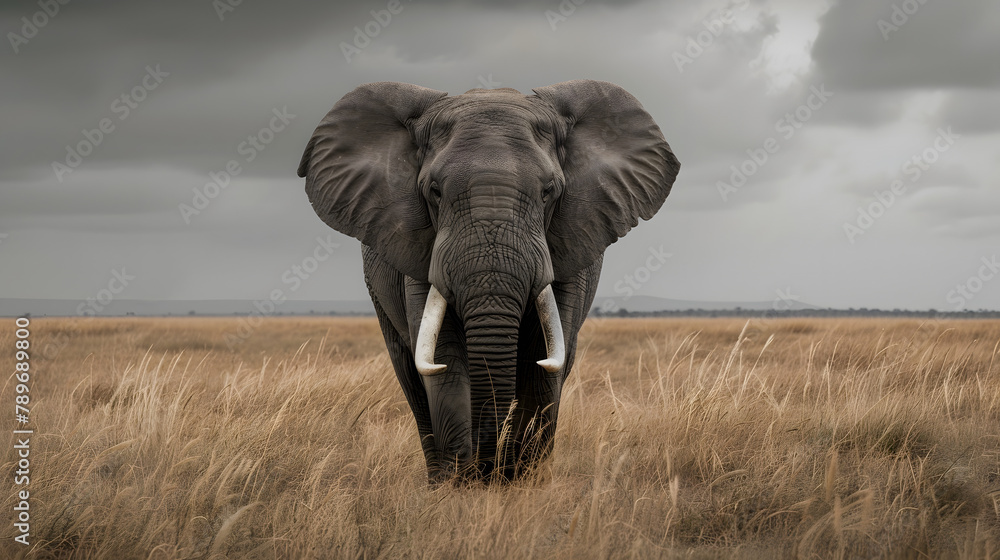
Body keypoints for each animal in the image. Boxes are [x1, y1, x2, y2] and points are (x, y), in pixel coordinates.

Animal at [297, 80, 680, 483]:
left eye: (549, 192)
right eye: (434, 191)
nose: (488, 469)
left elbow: (542, 361)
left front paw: (521, 483)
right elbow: (443, 358)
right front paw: (462, 485)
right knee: (410, 372)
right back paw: (438, 479)